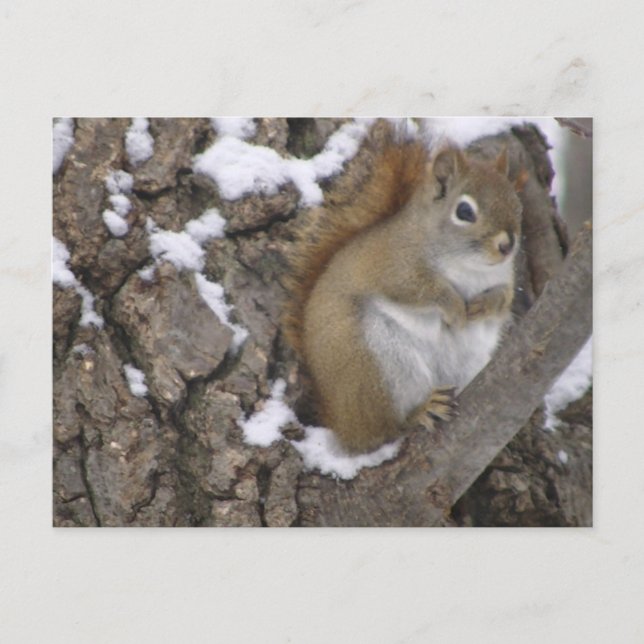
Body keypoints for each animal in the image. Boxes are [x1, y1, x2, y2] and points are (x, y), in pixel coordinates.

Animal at [283, 121, 524, 454]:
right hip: (376, 365)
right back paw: (420, 412)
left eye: (517, 204)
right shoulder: (393, 266)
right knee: (381, 432)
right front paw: (455, 308)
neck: (470, 267)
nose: (506, 245)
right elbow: (422, 291)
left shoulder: (505, 278)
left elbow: (504, 300)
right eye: (464, 212)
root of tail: (340, 420)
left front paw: (483, 306)